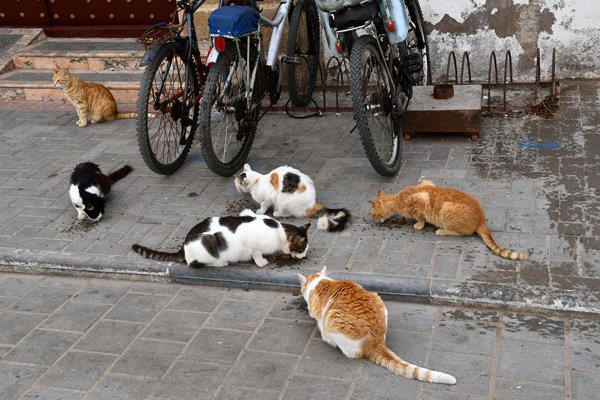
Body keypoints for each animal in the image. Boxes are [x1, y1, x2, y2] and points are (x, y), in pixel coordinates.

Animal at [131, 208, 310, 268]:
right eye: (302, 248)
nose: (304, 256)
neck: (278, 230)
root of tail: (184, 246)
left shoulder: (247, 213)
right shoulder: (249, 240)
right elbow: (256, 253)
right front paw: (261, 262)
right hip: (207, 241)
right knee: (194, 264)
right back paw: (222, 263)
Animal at [298, 266, 458, 384]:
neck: (320, 282)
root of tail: (375, 342)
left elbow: (314, 314)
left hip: (334, 317)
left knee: (351, 353)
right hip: (378, 298)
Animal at [368, 180, 528, 260]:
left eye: (373, 214)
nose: (374, 221)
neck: (397, 199)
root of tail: (481, 217)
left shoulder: (422, 199)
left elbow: (420, 216)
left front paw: (418, 224)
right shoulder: (426, 183)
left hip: (446, 208)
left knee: (463, 233)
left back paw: (442, 231)